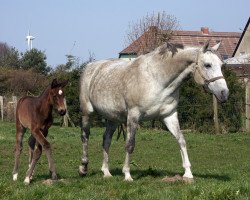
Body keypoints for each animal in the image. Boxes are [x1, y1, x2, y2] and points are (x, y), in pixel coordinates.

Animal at [78, 40, 229, 181]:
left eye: (221, 65)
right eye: (207, 65)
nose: (224, 93)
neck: (157, 79)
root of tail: (90, 67)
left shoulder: (169, 115)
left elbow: (181, 140)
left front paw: (188, 173)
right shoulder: (133, 116)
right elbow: (130, 144)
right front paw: (127, 175)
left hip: (113, 118)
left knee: (106, 140)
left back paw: (106, 172)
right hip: (87, 113)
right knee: (85, 136)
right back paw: (83, 168)